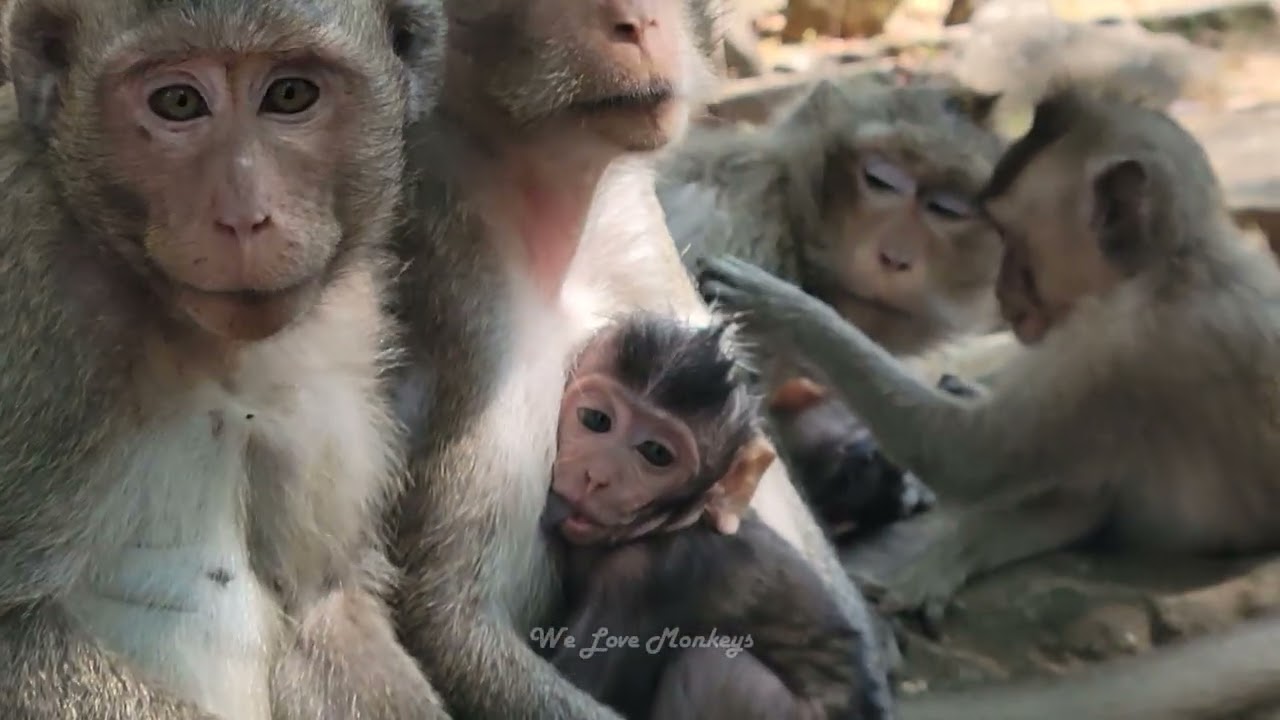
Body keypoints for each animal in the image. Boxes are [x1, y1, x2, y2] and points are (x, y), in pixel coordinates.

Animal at [0, 1, 449, 718]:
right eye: (179, 102)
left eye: (290, 95)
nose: (243, 218)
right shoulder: (33, 294)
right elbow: (13, 629)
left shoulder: (343, 342)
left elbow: (323, 604)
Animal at [538, 313, 888, 720]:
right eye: (596, 419)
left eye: (656, 453)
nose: (597, 477)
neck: (670, 525)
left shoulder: (648, 573)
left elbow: (578, 683)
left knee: (710, 665)